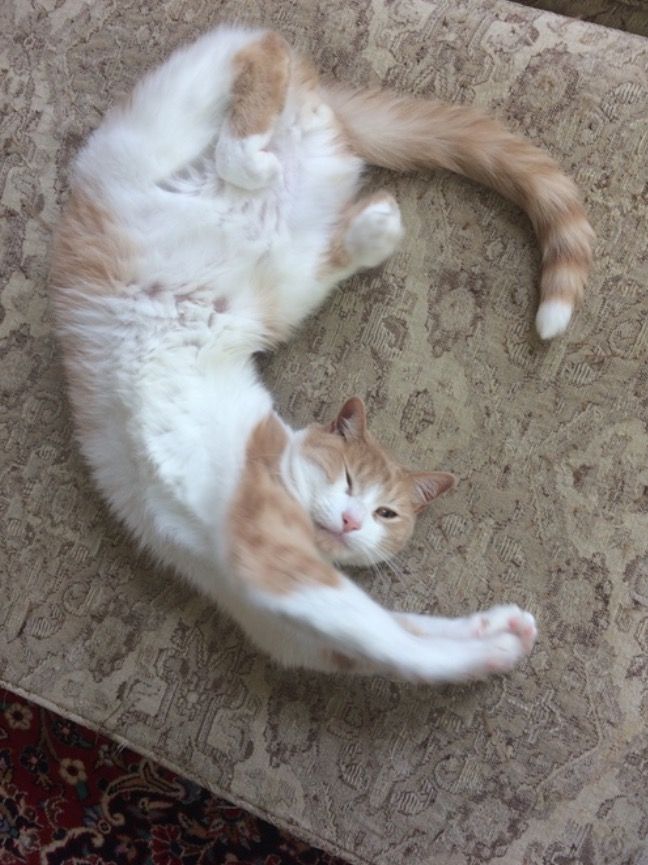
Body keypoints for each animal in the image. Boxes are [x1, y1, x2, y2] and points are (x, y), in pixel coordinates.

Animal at [50, 25, 592, 680]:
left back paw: (373, 229)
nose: (354, 520)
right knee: (256, 49)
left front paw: (493, 642)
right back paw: (257, 160)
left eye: (388, 516)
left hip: (284, 275)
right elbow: (384, 633)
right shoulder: (268, 554)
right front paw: (489, 640)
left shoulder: (280, 619)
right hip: (155, 136)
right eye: (352, 482)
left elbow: (390, 641)